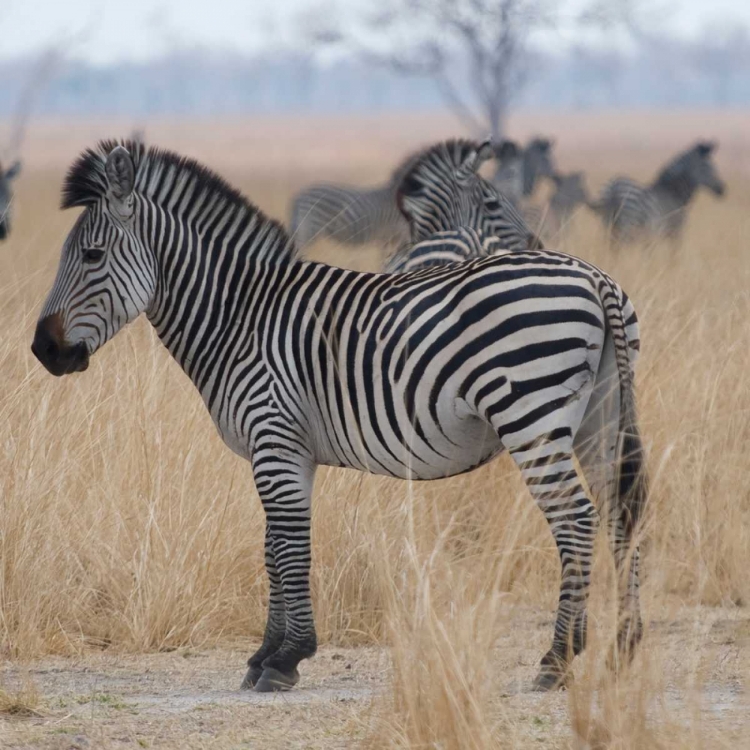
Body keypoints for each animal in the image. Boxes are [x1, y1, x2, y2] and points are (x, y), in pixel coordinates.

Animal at [592, 141, 724, 247]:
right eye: (707, 167)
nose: (723, 190)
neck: (673, 192)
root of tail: (614, 187)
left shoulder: (653, 236)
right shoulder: (675, 232)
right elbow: (674, 257)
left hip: (609, 225)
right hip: (626, 225)